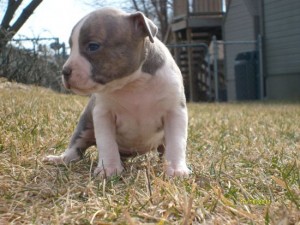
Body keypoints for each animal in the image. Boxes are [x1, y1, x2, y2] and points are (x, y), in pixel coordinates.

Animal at [43, 7, 189, 178]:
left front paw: (177, 170)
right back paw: (60, 158)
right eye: (71, 47)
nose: (64, 71)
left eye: (93, 46)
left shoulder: (175, 112)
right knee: (76, 148)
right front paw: (109, 168)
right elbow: (107, 143)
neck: (133, 83)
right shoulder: (103, 114)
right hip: (85, 124)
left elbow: (177, 143)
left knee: (163, 149)